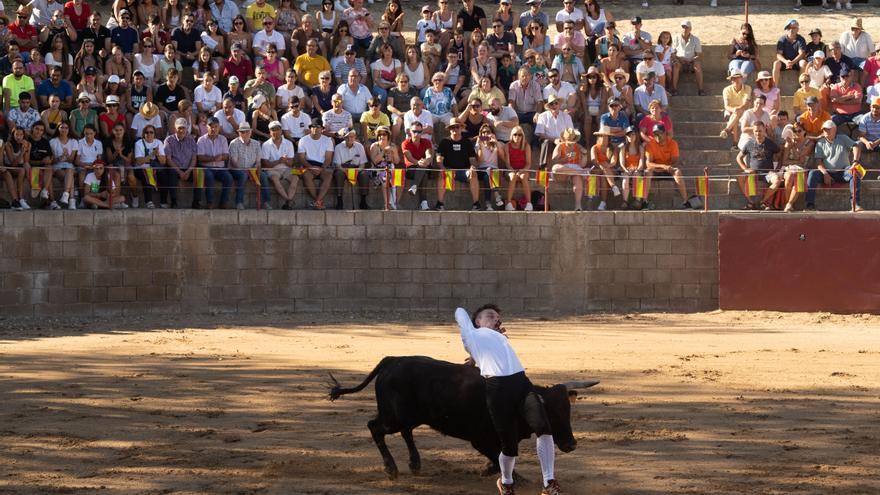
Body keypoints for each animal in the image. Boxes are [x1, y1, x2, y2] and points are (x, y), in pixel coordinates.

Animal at [328, 356, 600, 480]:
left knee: (406, 432)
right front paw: (512, 476)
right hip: (393, 416)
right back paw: (391, 468)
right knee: (374, 427)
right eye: (550, 413)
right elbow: (499, 455)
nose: (571, 444)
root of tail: (392, 360)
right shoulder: (481, 439)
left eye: (568, 410)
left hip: (407, 417)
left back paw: (415, 464)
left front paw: (491, 470)